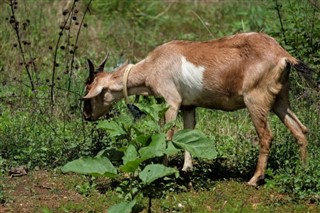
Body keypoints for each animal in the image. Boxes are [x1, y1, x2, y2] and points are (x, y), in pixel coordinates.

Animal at [80, 32, 312, 186]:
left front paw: (164, 171)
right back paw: (301, 171)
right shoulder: (188, 106)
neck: (155, 63)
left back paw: (254, 179)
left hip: (256, 101)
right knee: (301, 130)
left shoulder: (171, 102)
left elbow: (168, 136)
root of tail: (282, 54)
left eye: (88, 93)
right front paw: (186, 169)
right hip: (280, 100)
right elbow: (188, 133)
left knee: (266, 135)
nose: (86, 115)